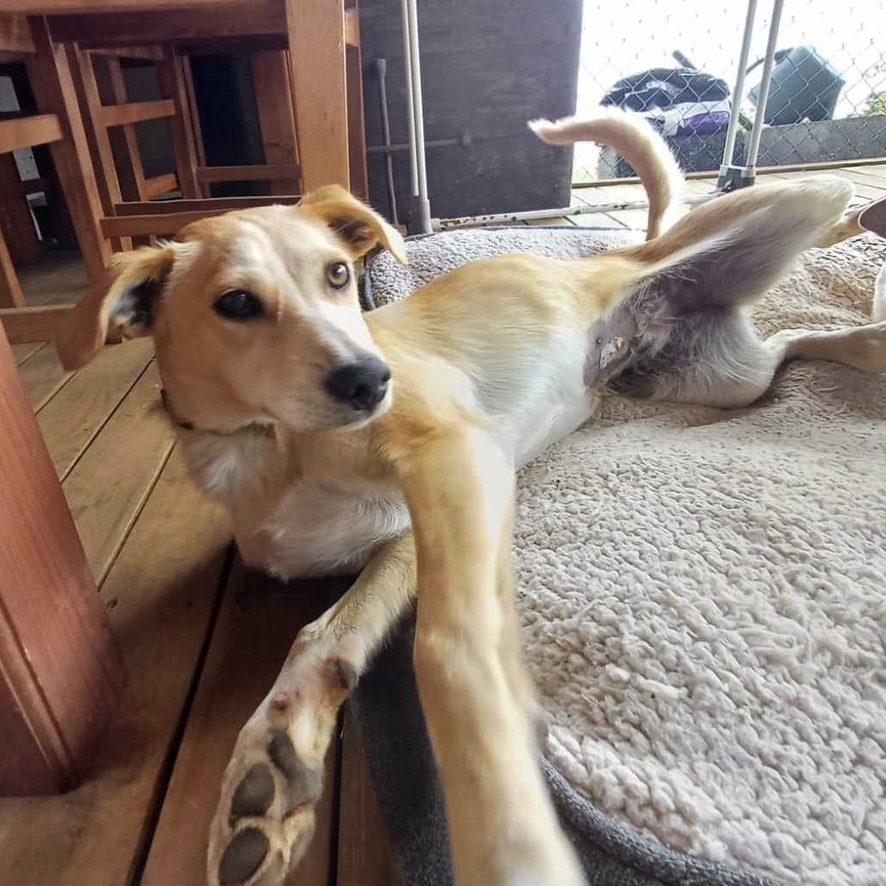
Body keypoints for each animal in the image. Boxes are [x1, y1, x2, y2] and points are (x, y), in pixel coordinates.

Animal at [57, 112, 886, 886]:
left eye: (337, 276)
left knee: (819, 250)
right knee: (793, 345)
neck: (270, 445)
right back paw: (866, 342)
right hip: (725, 380)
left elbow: (447, 647)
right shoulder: (394, 540)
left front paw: (508, 834)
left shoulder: (463, 462)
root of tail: (621, 259)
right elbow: (325, 635)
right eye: (234, 303)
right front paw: (271, 760)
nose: (371, 380)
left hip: (797, 202)